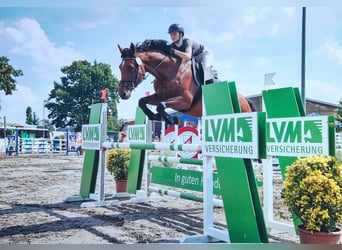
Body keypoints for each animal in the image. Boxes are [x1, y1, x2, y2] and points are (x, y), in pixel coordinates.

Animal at [117, 39, 254, 125]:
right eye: (119, 67)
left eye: (130, 67)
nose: (122, 93)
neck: (169, 73)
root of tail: (245, 99)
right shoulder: (161, 95)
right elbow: (142, 101)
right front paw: (154, 116)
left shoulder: (186, 100)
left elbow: (161, 105)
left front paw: (173, 120)